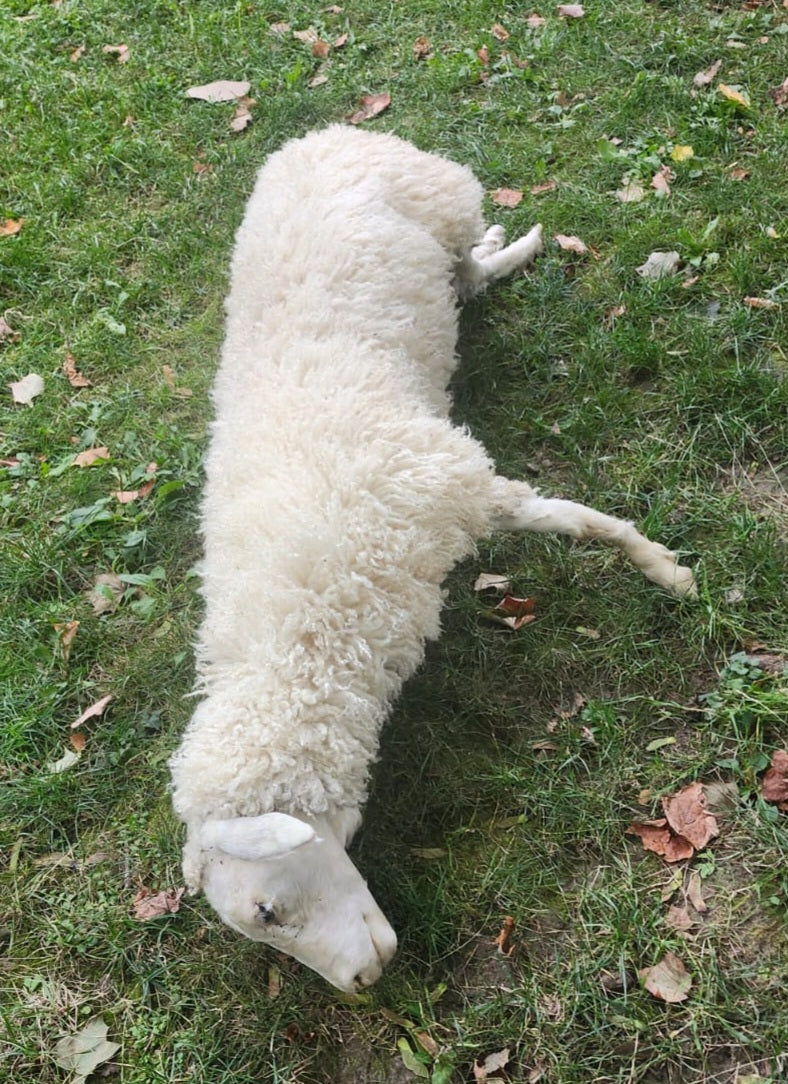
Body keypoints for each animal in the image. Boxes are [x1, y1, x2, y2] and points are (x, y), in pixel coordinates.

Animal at [169, 125, 695, 994]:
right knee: (467, 281)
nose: (359, 986)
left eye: (269, 910)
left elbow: (579, 522)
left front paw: (664, 568)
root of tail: (333, 132)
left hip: (444, 202)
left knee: (474, 268)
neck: (299, 630)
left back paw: (518, 240)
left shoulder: (450, 483)